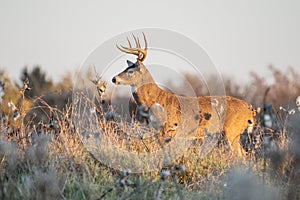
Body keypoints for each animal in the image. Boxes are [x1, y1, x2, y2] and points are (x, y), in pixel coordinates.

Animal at [111, 32, 256, 155]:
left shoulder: (168, 129)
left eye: (130, 71)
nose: (114, 79)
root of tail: (250, 109)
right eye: (125, 68)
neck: (155, 100)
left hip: (232, 131)